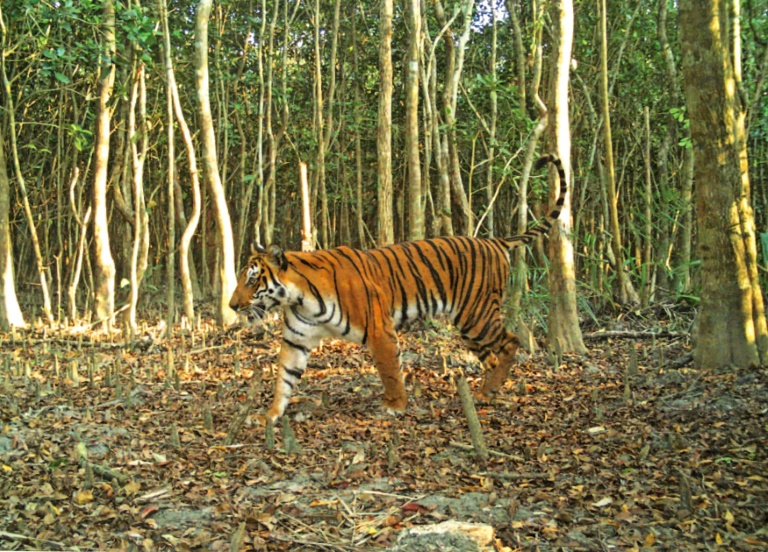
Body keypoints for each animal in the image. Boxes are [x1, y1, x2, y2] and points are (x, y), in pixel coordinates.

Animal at [230, 154, 566, 424]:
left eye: (252, 279)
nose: (232, 306)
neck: (299, 298)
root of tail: (494, 241)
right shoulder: (296, 339)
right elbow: (283, 379)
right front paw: (269, 415)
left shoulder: (380, 330)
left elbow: (389, 369)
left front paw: (395, 405)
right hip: (470, 325)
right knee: (492, 356)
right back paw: (485, 392)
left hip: (477, 316)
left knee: (511, 341)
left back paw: (491, 389)